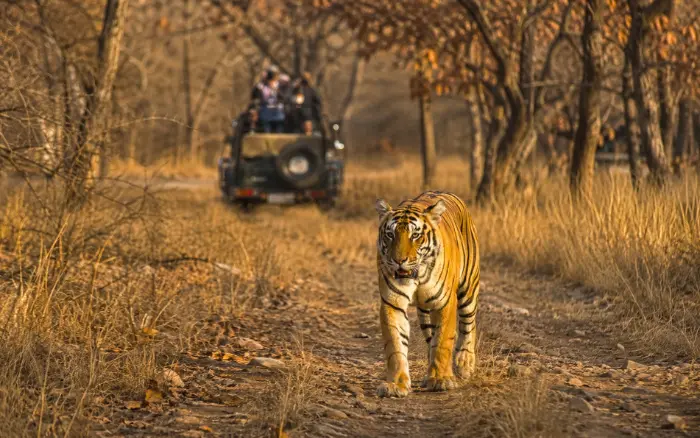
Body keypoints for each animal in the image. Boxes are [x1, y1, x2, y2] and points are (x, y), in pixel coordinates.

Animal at [374, 191, 480, 398]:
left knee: (468, 324)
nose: (399, 260)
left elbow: (443, 341)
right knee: (431, 336)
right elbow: (395, 344)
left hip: (468, 288)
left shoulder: (444, 302)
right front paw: (396, 384)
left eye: (415, 235)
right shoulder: (392, 303)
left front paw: (441, 379)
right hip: (425, 311)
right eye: (390, 234)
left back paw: (465, 363)